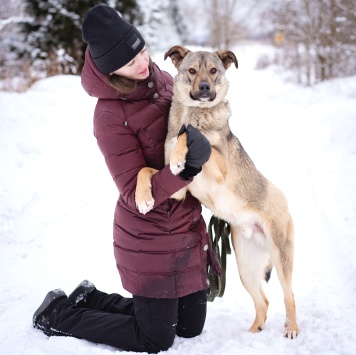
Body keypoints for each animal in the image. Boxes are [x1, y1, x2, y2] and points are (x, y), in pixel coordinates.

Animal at [135, 45, 298, 340]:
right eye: (191, 70)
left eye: (213, 70)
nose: (203, 87)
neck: (195, 112)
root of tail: (283, 199)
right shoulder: (176, 189)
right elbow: (146, 169)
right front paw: (142, 197)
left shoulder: (219, 168)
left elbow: (193, 136)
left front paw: (182, 148)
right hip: (245, 267)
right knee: (263, 301)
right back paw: (253, 331)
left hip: (281, 257)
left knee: (288, 295)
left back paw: (291, 329)